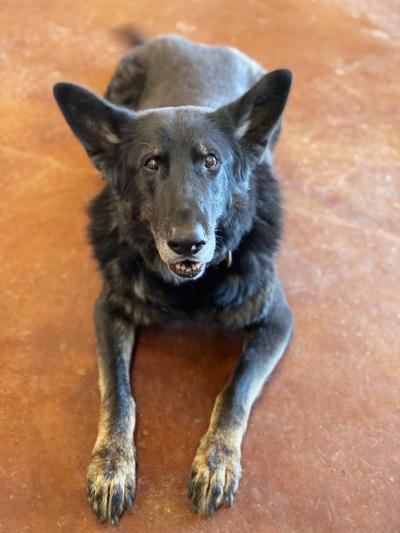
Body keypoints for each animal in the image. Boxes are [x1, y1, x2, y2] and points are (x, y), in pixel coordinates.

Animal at [53, 34, 294, 524]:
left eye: (211, 161)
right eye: (151, 164)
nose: (188, 244)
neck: (189, 292)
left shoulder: (277, 320)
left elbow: (235, 389)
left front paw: (217, 461)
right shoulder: (108, 310)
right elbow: (117, 394)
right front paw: (112, 466)